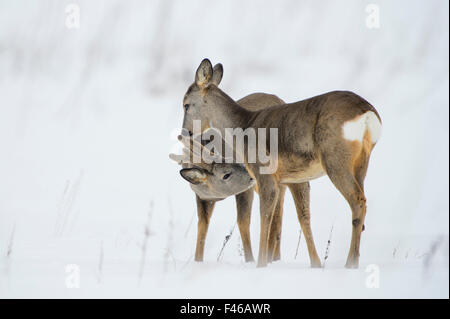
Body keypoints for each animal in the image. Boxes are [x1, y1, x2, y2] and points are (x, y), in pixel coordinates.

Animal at [181, 58, 382, 268]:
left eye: (186, 105)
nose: (185, 132)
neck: (244, 126)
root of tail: (367, 113)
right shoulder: (286, 179)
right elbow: (294, 217)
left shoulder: (263, 174)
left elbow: (265, 218)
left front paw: (261, 265)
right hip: (361, 163)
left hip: (335, 159)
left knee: (358, 201)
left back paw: (350, 263)